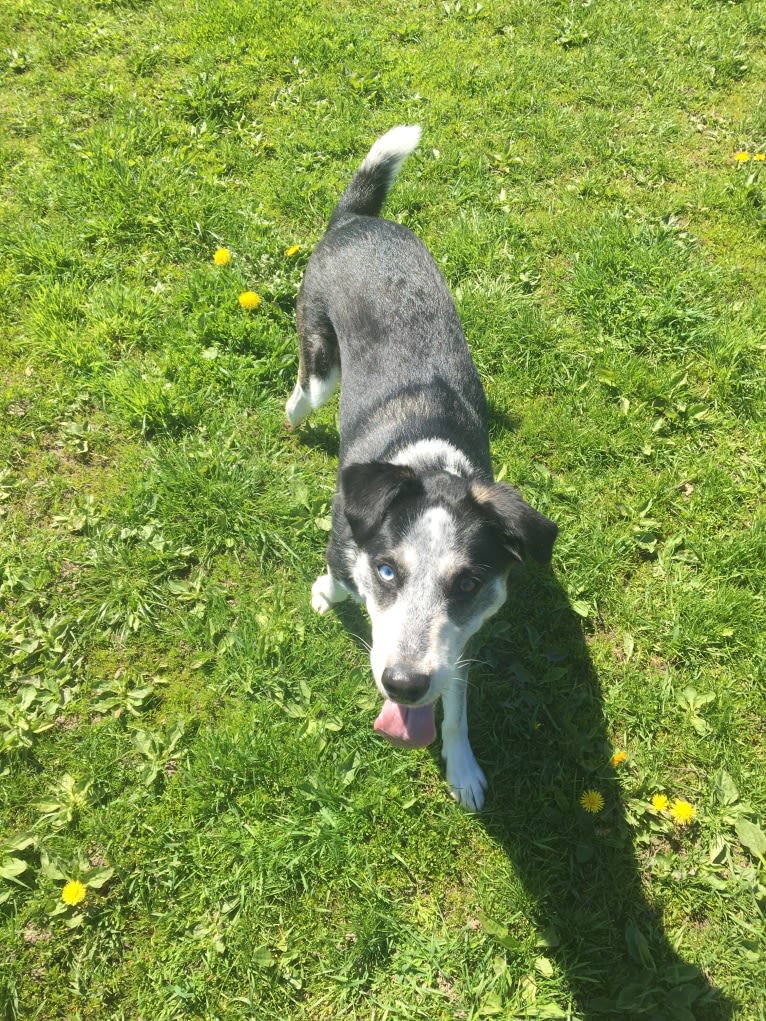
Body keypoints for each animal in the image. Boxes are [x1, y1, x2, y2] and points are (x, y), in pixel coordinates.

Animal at [288, 125, 559, 812]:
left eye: (467, 584)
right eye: (387, 570)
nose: (405, 685)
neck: (432, 465)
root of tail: (358, 221)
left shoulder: (457, 647)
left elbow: (457, 710)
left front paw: (462, 768)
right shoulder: (346, 538)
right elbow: (338, 574)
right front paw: (326, 593)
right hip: (321, 365)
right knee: (300, 395)